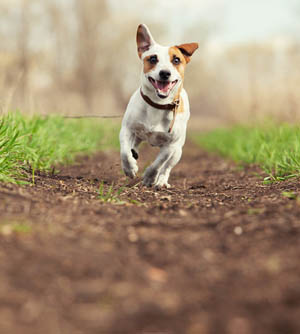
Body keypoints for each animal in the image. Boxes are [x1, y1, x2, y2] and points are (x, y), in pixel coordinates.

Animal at [118, 24, 198, 188]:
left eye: (176, 59)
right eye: (153, 58)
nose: (165, 73)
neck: (158, 104)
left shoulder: (171, 146)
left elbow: (159, 163)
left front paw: (150, 177)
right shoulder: (127, 129)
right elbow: (124, 151)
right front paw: (129, 168)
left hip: (178, 152)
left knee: (166, 167)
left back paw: (161, 181)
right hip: (138, 135)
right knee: (133, 146)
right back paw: (134, 154)